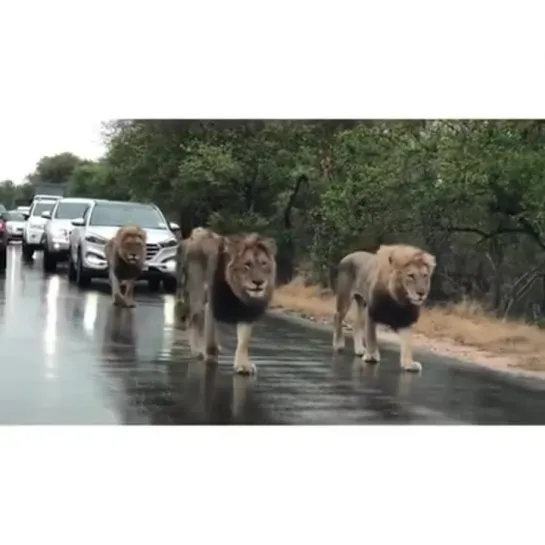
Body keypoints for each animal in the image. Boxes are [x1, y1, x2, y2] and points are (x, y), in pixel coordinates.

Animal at [174, 226, 276, 374]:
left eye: (263, 264)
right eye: (247, 264)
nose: (258, 282)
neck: (238, 291)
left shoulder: (246, 312)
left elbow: (244, 340)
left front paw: (243, 365)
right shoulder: (212, 304)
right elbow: (210, 334)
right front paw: (210, 355)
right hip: (197, 293)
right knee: (193, 320)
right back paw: (197, 350)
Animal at [330, 244, 436, 372]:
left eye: (425, 276)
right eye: (411, 276)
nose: (421, 293)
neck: (398, 298)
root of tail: (348, 256)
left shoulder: (404, 320)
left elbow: (407, 344)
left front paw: (409, 364)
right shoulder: (372, 312)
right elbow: (371, 336)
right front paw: (372, 356)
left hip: (362, 304)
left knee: (356, 325)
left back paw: (359, 350)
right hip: (345, 298)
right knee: (337, 316)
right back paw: (338, 344)